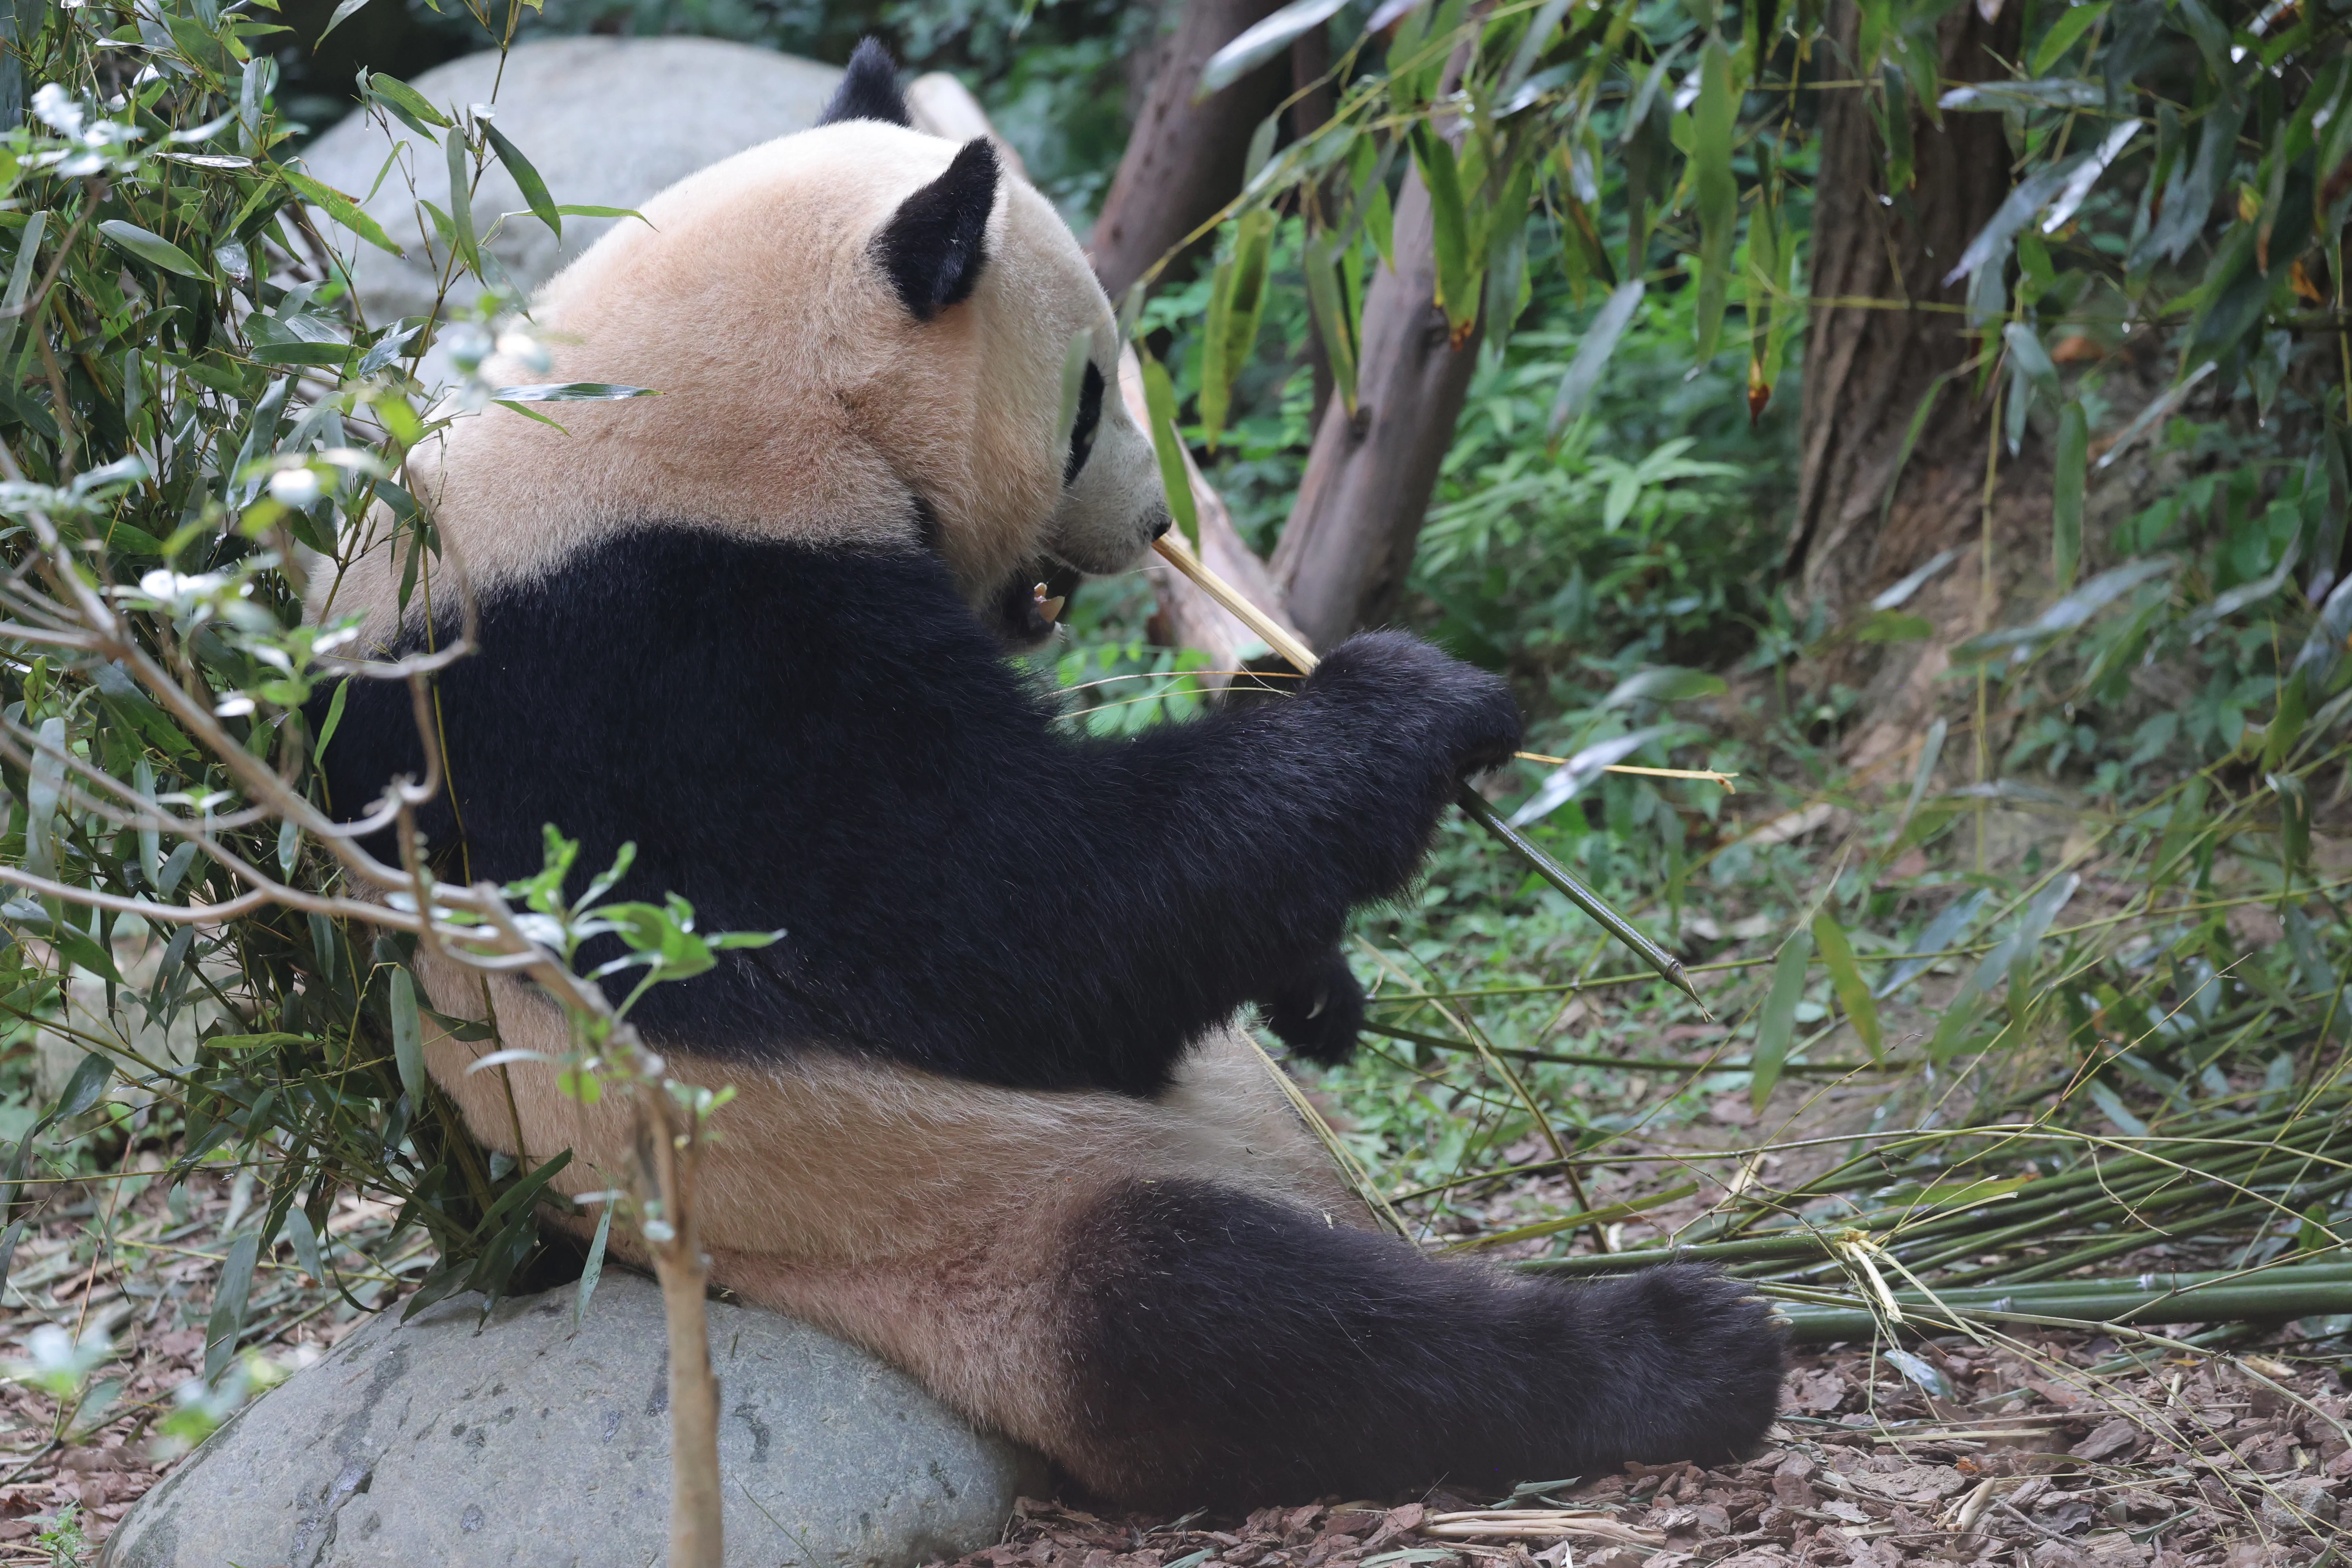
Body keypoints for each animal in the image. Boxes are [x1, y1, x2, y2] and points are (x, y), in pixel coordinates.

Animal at [313, 41, 1785, 1510]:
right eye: (1087, 400)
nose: (1155, 519)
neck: (687, 409)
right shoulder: (656, 675)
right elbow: (1015, 929)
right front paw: (1412, 704)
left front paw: (1318, 976)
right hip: (958, 1219)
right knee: (1239, 1326)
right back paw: (1685, 1349)